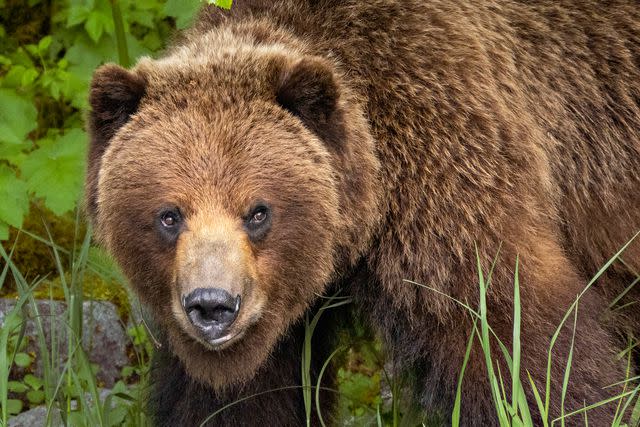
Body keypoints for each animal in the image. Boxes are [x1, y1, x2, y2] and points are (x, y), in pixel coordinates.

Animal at [86, 1, 640, 426]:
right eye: (169, 215)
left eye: (258, 211)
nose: (213, 305)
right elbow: (239, 400)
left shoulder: (448, 181)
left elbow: (519, 341)